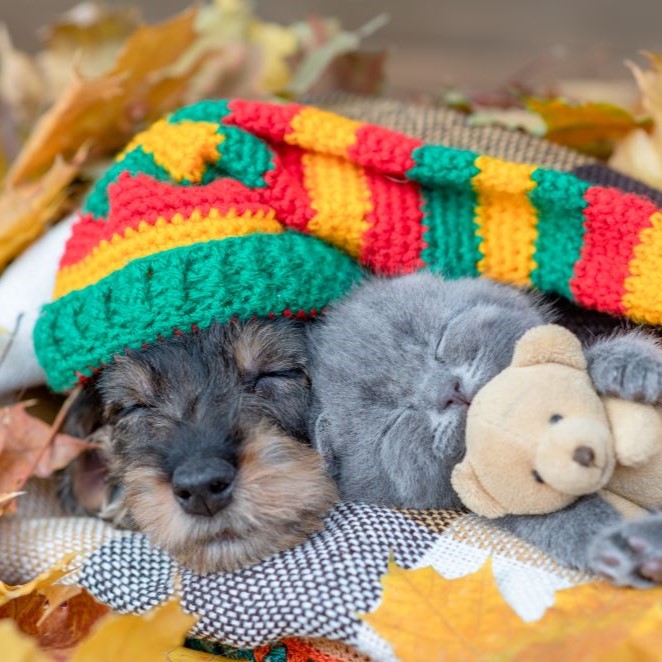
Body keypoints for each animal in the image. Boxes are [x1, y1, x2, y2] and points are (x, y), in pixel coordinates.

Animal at [312, 274, 662, 592]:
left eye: (441, 341)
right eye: (396, 419)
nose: (448, 390)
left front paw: (628, 364)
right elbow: (541, 514)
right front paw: (605, 541)